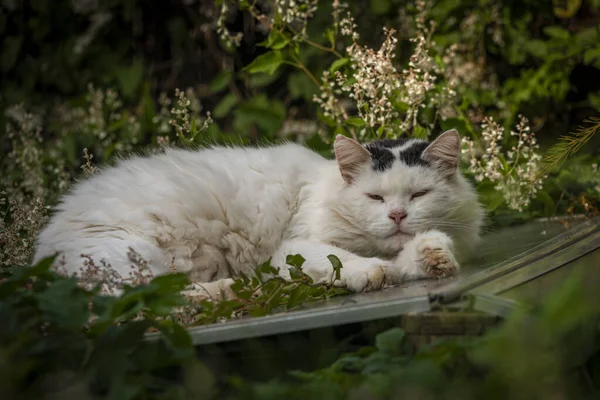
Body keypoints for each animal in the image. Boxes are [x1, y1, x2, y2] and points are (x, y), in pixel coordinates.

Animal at [32, 130, 486, 298]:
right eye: (375, 197)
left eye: (419, 195)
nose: (396, 217)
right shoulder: (290, 250)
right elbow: (350, 262)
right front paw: (373, 272)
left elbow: (412, 260)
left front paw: (431, 256)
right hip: (137, 255)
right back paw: (227, 288)